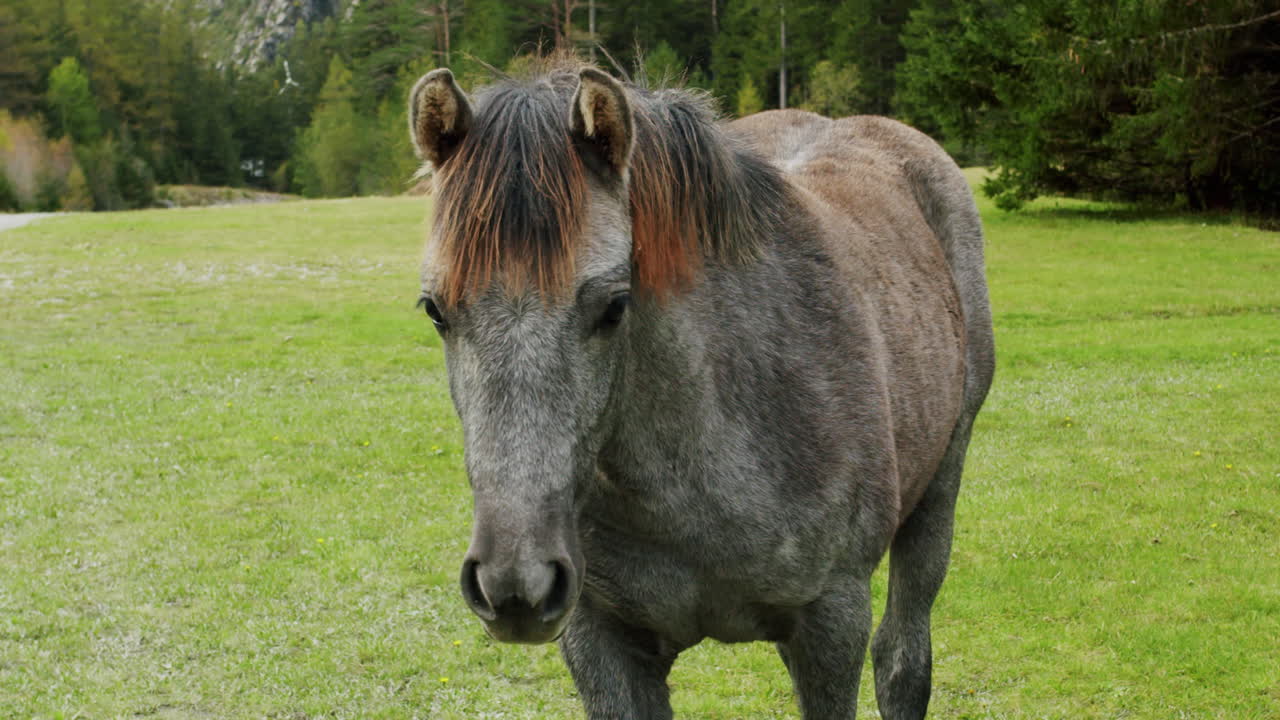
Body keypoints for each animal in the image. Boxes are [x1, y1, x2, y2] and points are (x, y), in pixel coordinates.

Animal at [407, 59, 994, 719]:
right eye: (435, 310)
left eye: (615, 307)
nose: (515, 585)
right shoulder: (601, 642)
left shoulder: (832, 624)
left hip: (940, 488)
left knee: (902, 659)